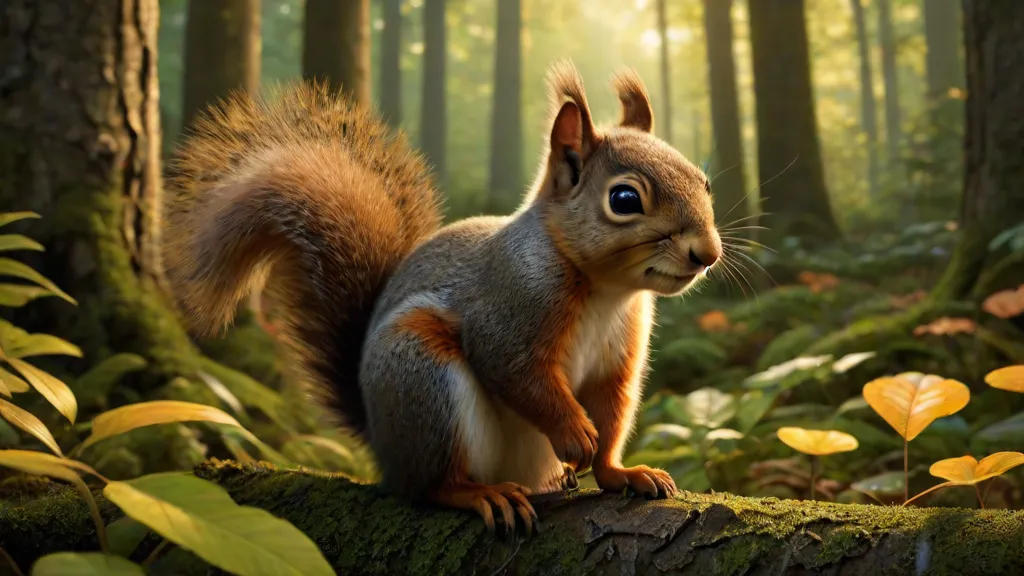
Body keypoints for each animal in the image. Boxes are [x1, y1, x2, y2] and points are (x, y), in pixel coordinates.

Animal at [165, 61, 722, 535]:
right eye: (624, 199)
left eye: (704, 181)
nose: (707, 254)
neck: (607, 290)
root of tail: (383, 446)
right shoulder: (508, 308)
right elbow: (519, 374)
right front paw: (574, 434)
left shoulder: (617, 360)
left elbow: (612, 416)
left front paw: (621, 473)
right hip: (422, 377)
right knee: (432, 485)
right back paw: (481, 494)